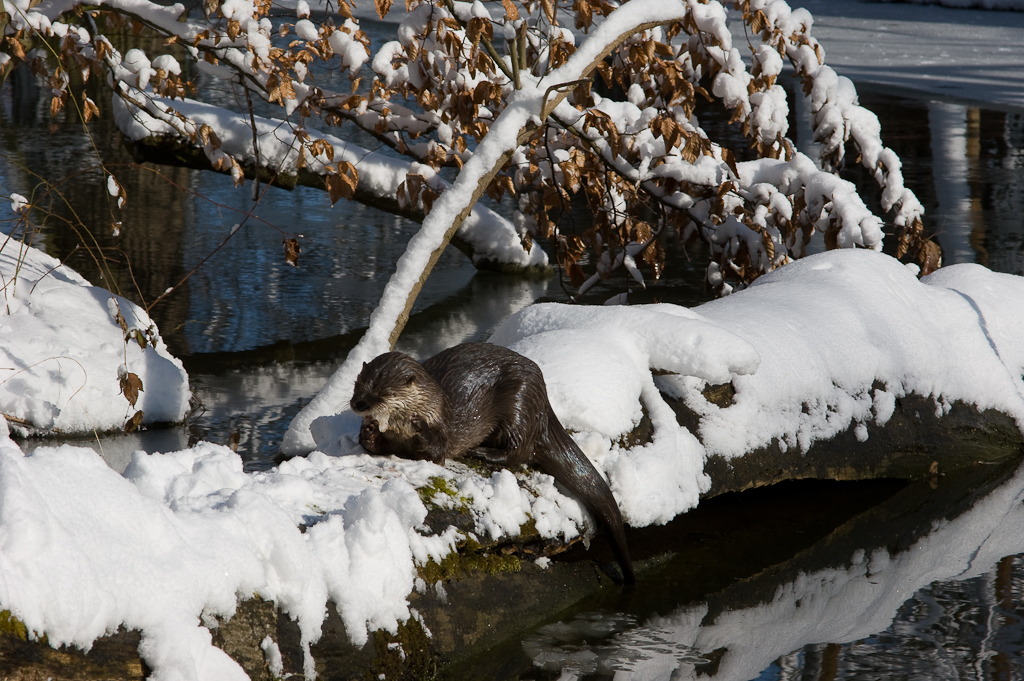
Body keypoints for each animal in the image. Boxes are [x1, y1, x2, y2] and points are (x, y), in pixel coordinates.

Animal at [356, 342, 634, 581]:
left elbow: (435, 452)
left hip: (520, 405)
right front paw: (368, 432)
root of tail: (544, 404)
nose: (358, 404)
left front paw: (419, 429)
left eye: (384, 392)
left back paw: (481, 452)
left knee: (521, 450)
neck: (431, 406)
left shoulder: (441, 429)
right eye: (358, 384)